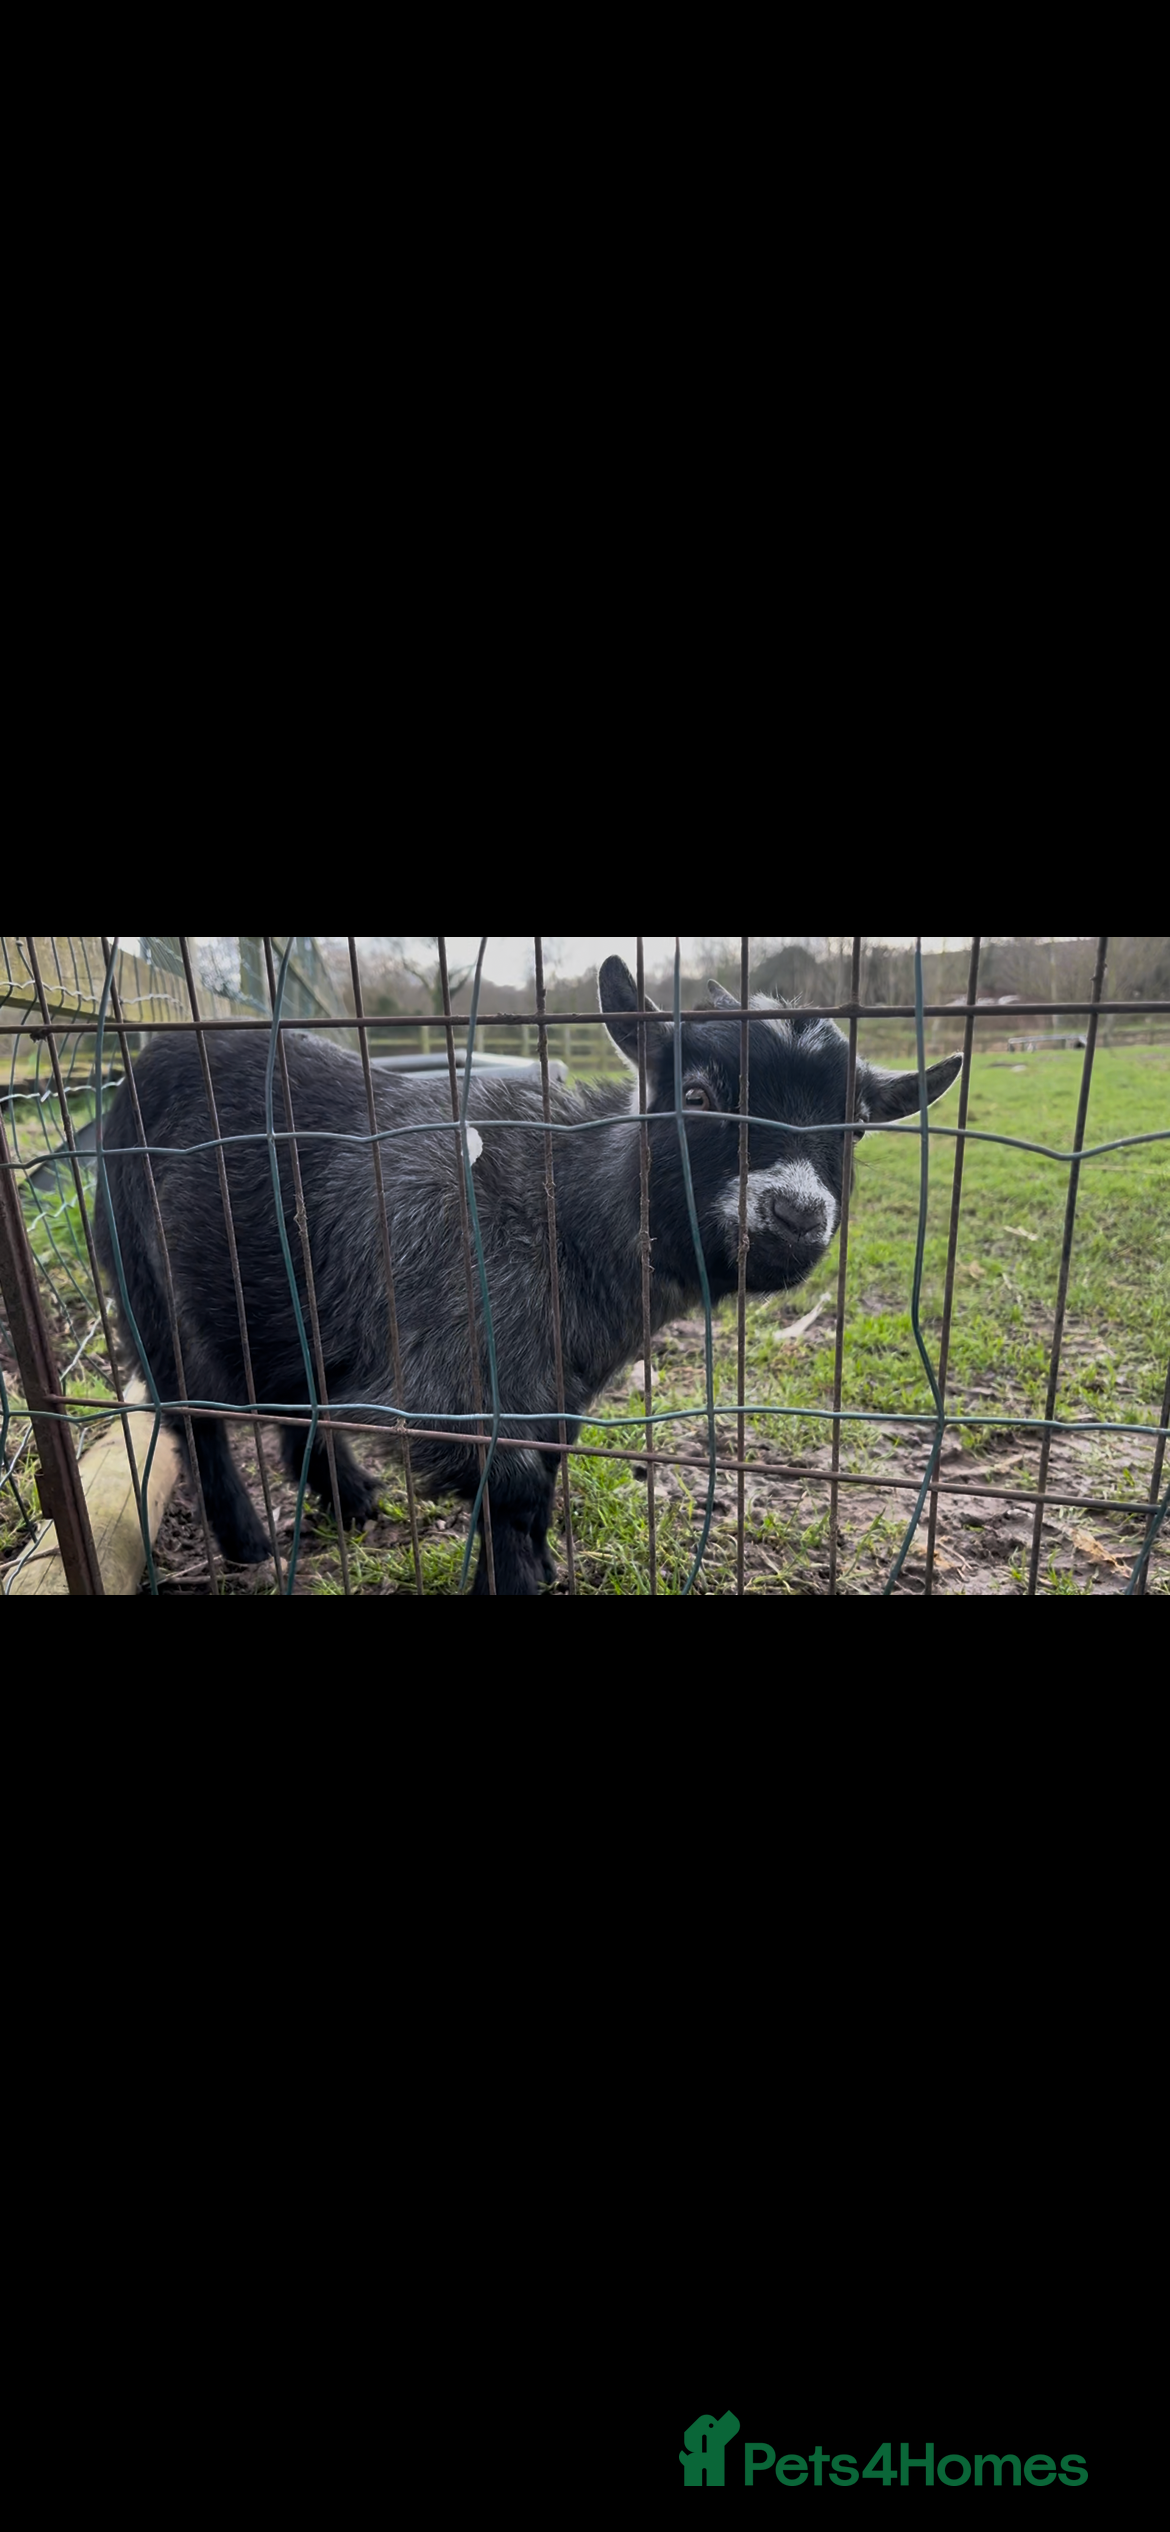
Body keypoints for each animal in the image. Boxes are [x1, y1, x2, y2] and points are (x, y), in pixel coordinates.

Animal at [94, 958, 962, 1593]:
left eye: (855, 1126)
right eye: (696, 1093)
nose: (795, 1214)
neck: (565, 1209)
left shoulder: (557, 1384)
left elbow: (544, 1473)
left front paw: (540, 1565)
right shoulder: (445, 1377)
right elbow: (508, 1487)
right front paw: (512, 1582)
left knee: (288, 1395)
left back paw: (351, 1501)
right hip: (143, 1284)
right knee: (193, 1415)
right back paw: (247, 1541)